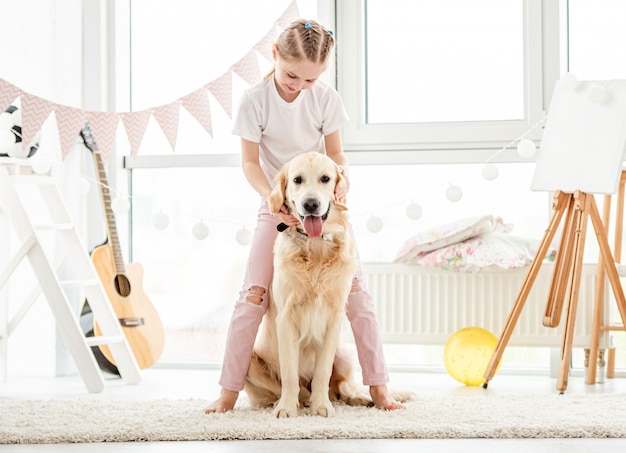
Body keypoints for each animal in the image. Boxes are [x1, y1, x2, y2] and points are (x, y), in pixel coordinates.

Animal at [244, 152, 370, 416]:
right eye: (297, 180)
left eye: (325, 179)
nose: (310, 204)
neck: (316, 247)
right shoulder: (286, 317)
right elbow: (290, 373)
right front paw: (286, 408)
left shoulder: (334, 317)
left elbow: (323, 371)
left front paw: (321, 406)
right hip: (250, 359)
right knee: (299, 389)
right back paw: (291, 401)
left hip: (344, 352)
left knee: (342, 387)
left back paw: (361, 397)